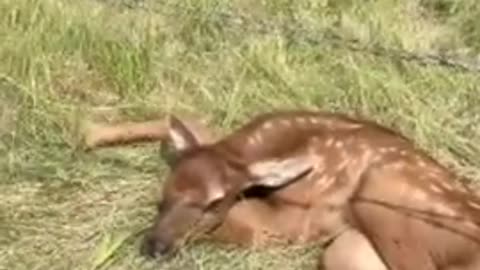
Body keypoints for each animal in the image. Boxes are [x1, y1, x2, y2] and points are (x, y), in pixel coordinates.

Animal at [86, 109, 480, 270]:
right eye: (165, 190)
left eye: (215, 202)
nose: (155, 247)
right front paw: (88, 133)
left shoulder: (300, 222)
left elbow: (243, 227)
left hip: (387, 193)